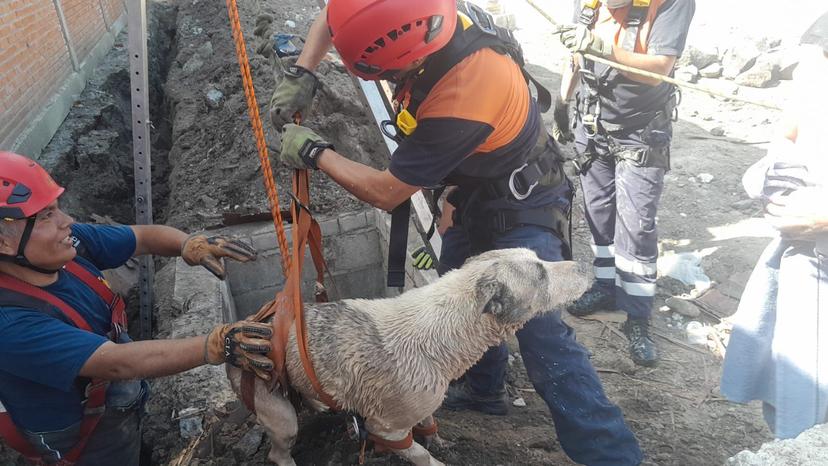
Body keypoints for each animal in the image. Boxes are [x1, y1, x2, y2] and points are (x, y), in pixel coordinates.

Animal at [226, 246, 588, 464]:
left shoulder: (422, 401)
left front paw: (441, 443)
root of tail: (237, 329)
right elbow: (419, 455)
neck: (443, 331)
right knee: (279, 451)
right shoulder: (386, 428)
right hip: (277, 413)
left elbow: (429, 426)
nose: (585, 266)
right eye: (540, 273)